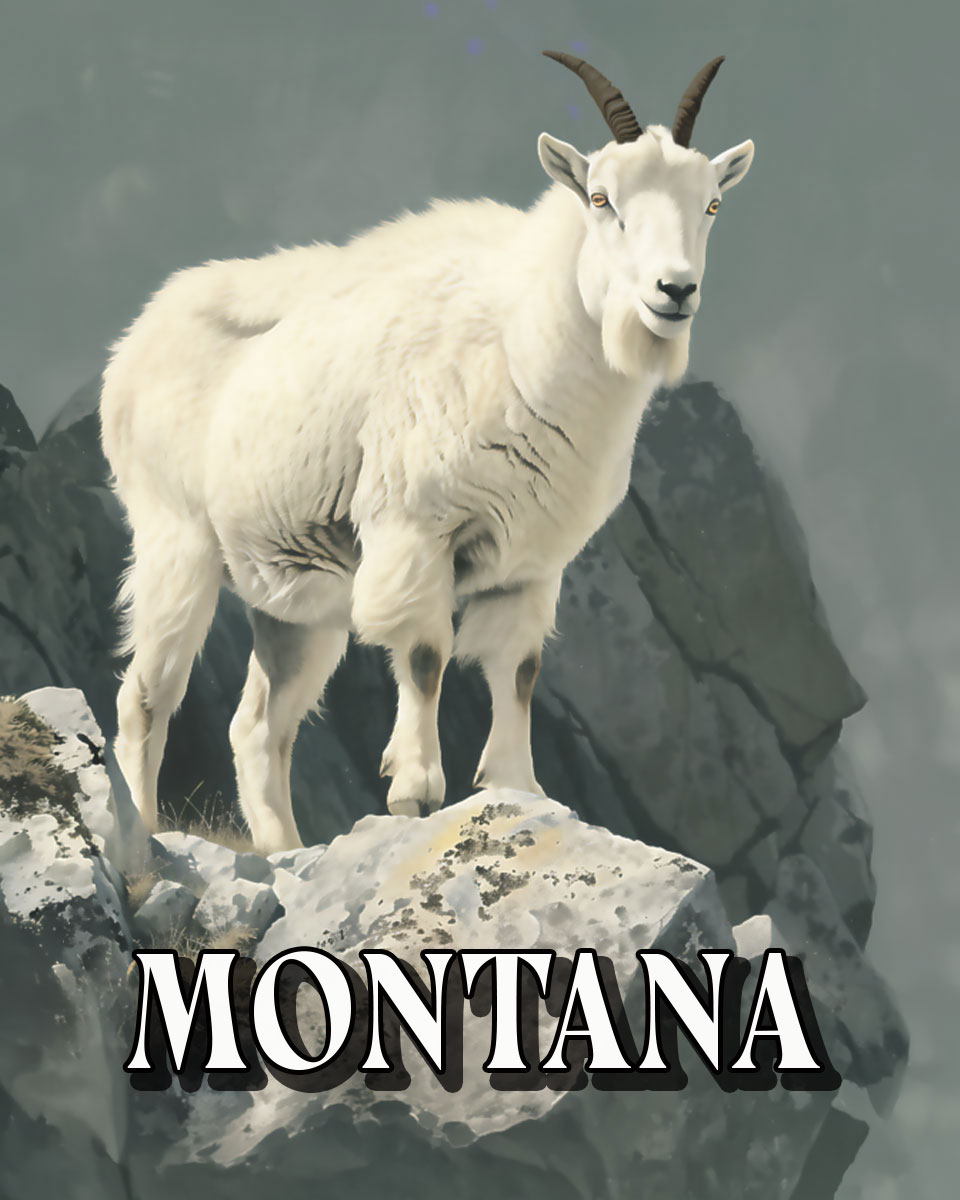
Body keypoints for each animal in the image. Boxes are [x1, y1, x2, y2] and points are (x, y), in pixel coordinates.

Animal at [100, 52, 755, 854]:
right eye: (602, 198)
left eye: (711, 205)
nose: (673, 291)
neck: (521, 338)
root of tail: (133, 345)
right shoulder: (415, 529)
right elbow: (425, 655)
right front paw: (414, 787)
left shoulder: (530, 565)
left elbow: (519, 669)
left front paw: (520, 786)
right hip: (177, 543)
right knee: (145, 699)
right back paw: (145, 837)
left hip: (295, 601)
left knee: (257, 727)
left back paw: (286, 848)